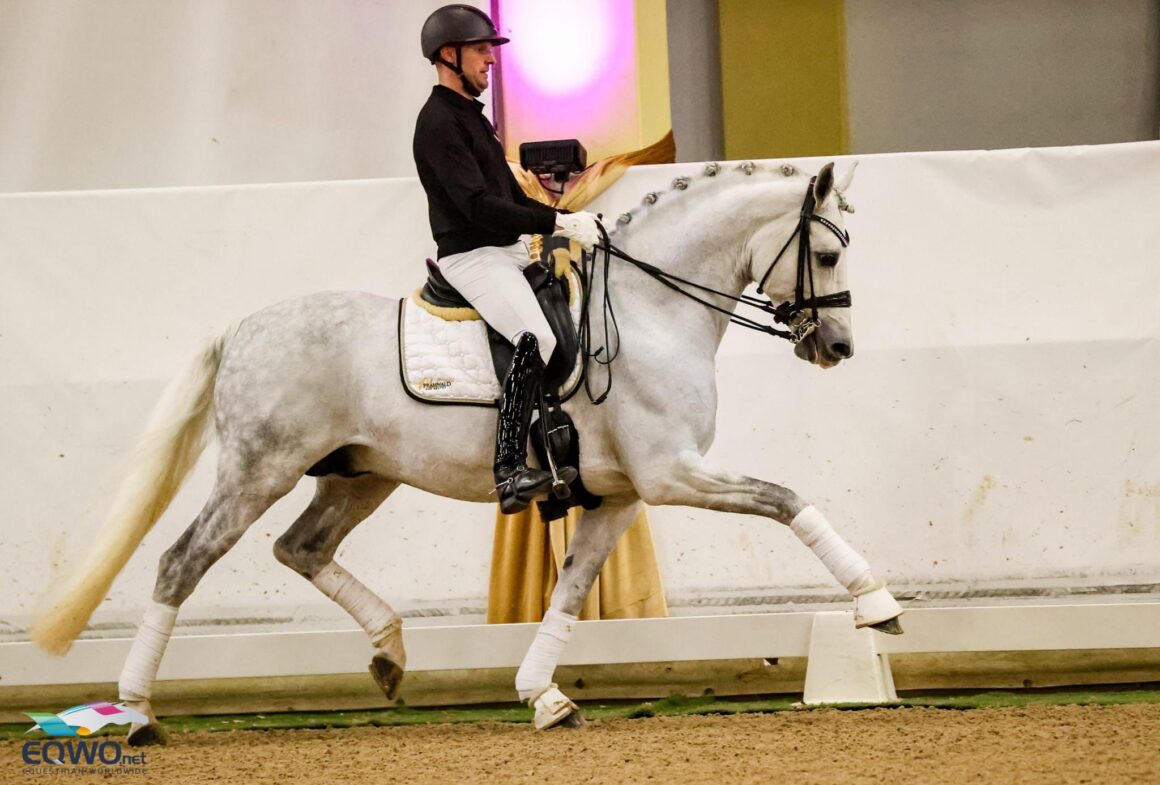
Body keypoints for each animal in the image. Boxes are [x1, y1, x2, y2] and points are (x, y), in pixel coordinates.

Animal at [31, 157, 904, 732]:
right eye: (828, 253)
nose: (837, 347)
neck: (652, 309)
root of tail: (241, 327)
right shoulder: (671, 474)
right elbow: (787, 499)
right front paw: (877, 604)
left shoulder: (624, 494)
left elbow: (570, 588)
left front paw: (543, 694)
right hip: (259, 470)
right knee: (182, 561)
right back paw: (137, 710)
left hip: (359, 475)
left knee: (300, 547)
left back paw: (388, 652)